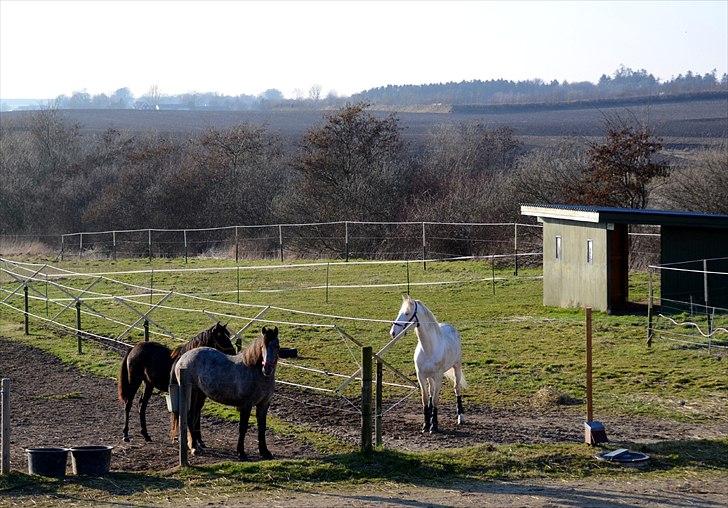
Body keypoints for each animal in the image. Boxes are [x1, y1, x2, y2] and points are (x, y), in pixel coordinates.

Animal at [172, 326, 280, 460]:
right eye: (262, 346)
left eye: (277, 346)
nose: (267, 369)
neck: (254, 371)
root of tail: (183, 358)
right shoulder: (246, 405)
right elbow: (243, 428)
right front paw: (241, 453)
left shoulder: (264, 404)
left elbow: (262, 427)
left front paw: (265, 452)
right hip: (192, 393)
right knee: (190, 417)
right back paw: (194, 447)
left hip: (199, 394)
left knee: (193, 416)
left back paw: (196, 444)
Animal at [390, 296, 470, 434]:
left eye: (407, 313)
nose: (393, 332)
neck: (428, 349)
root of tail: (451, 327)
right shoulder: (421, 377)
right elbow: (426, 399)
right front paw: (426, 425)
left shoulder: (438, 377)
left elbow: (436, 400)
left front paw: (434, 426)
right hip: (430, 377)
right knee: (431, 392)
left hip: (457, 367)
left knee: (457, 389)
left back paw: (461, 417)